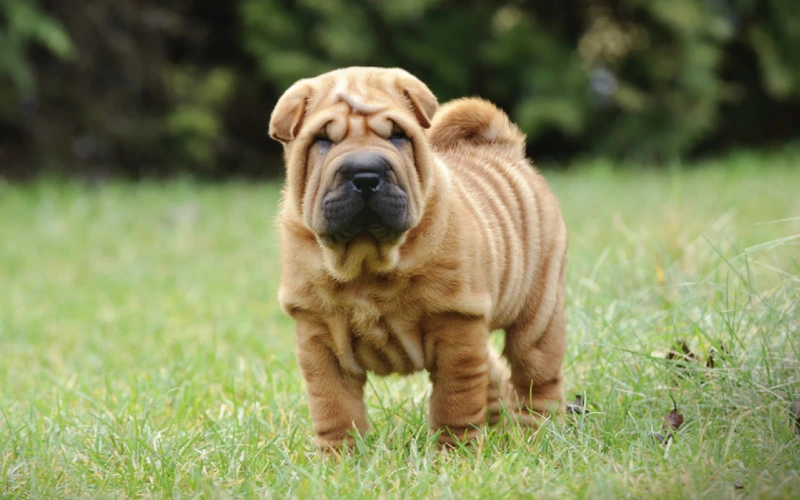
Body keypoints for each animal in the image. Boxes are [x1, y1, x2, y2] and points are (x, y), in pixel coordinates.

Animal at [270, 66, 568, 450]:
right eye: (323, 140)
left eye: (398, 135)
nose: (365, 174)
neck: (367, 262)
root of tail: (504, 148)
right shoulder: (318, 335)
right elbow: (334, 406)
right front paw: (340, 458)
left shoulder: (457, 322)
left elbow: (455, 400)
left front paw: (454, 453)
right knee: (494, 373)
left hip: (539, 310)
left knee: (535, 375)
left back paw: (540, 435)